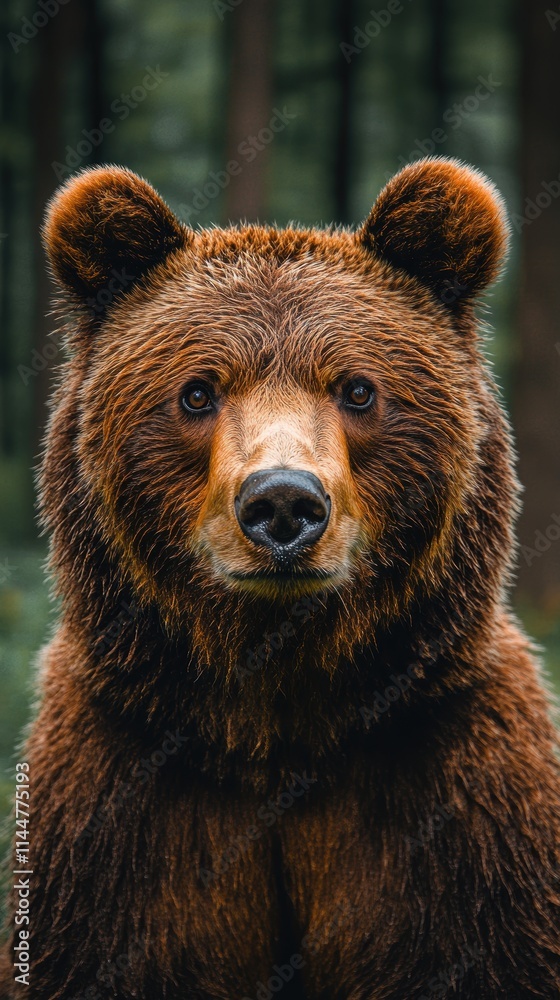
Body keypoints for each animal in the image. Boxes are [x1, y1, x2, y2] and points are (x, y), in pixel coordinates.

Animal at [0, 157, 559, 1000]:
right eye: (198, 391)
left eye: (357, 388)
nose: (284, 502)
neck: (277, 725)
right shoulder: (119, 817)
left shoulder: (460, 812)